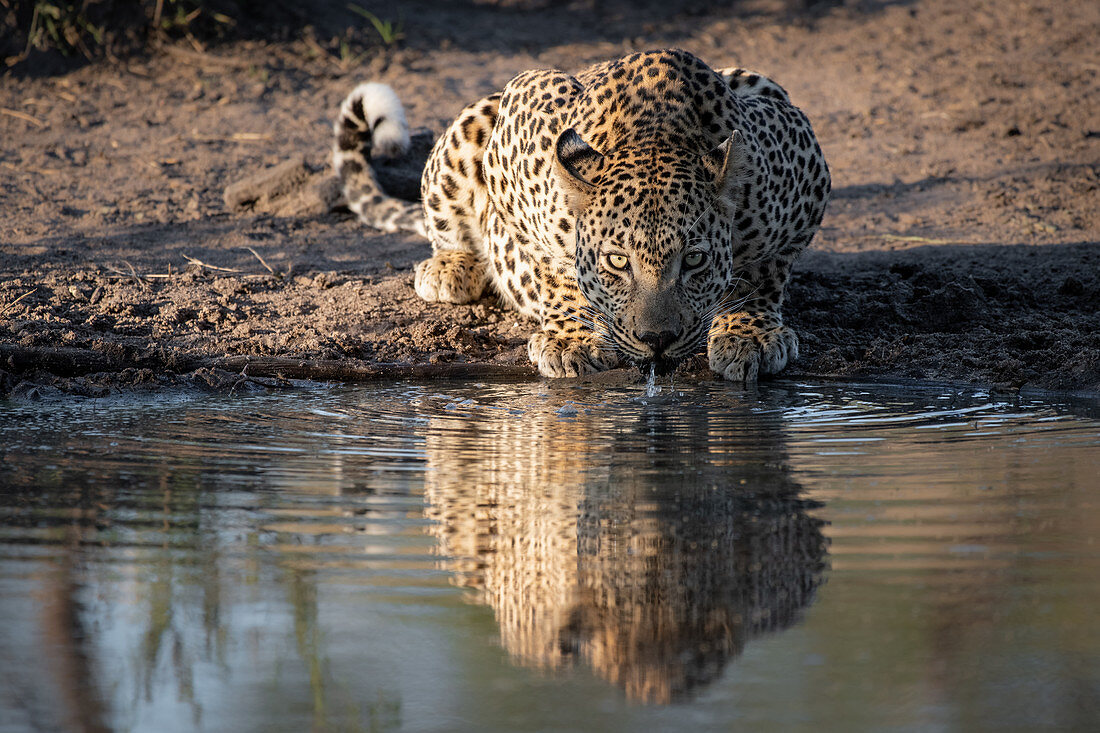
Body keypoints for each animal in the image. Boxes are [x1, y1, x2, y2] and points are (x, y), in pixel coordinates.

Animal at [330, 48, 827, 378]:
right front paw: (574, 339)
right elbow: (555, 271)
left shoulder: (802, 168)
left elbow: (761, 274)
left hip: (760, 81)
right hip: (474, 123)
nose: (657, 342)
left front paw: (748, 335)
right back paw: (452, 267)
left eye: (695, 261)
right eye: (617, 262)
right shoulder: (517, 123)